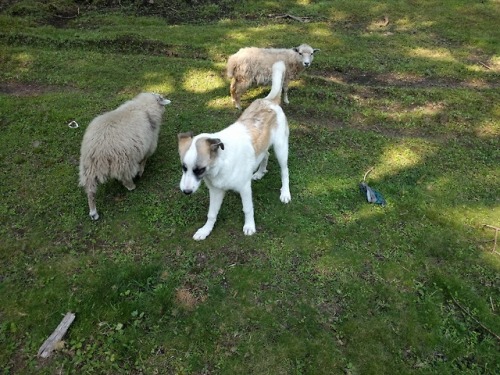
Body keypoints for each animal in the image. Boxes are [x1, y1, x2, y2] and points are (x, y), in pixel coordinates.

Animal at [78, 92, 171, 220]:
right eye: (160, 98)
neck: (143, 107)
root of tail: (97, 149)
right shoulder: (149, 144)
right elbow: (144, 160)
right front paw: (140, 172)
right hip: (123, 163)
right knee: (125, 178)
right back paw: (132, 186)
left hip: (88, 167)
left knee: (90, 190)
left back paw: (93, 212)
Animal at [179, 60, 290, 239]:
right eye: (183, 168)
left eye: (200, 169)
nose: (186, 192)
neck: (220, 165)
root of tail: (269, 101)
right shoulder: (216, 191)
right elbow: (211, 214)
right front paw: (205, 230)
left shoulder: (244, 188)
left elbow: (247, 209)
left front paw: (250, 226)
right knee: (265, 154)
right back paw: (260, 172)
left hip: (281, 148)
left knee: (285, 171)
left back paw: (285, 193)